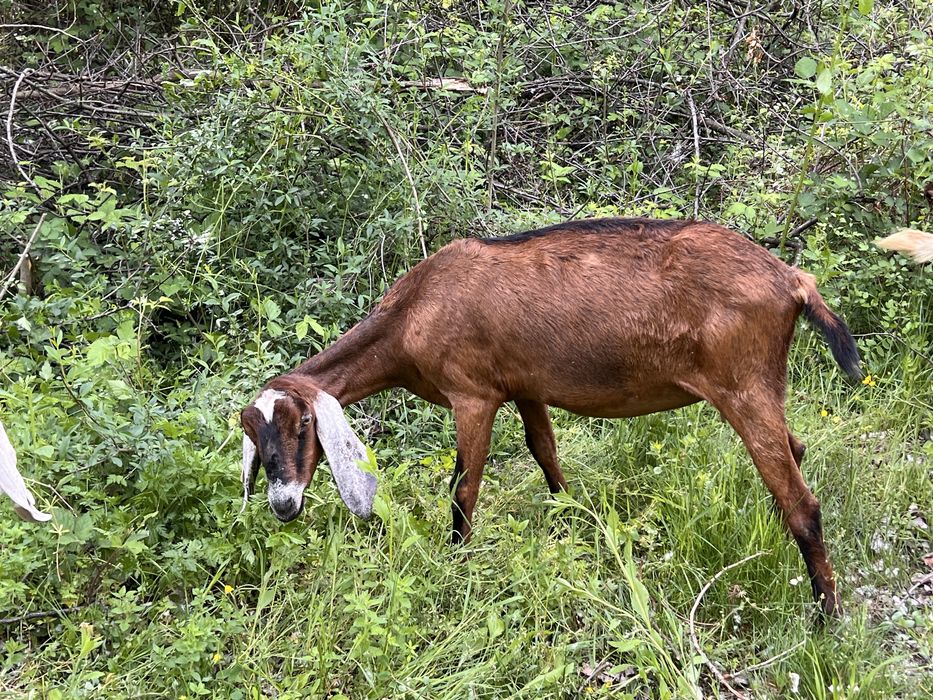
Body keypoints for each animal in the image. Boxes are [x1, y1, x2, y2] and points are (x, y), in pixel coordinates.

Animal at [240, 218, 861, 617]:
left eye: (302, 425)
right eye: (255, 436)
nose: (283, 504)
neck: (414, 312)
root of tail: (791, 280)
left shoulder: (473, 394)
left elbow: (463, 488)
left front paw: (456, 564)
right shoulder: (525, 387)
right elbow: (546, 453)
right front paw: (576, 525)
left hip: (743, 385)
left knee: (803, 503)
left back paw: (825, 617)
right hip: (759, 386)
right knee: (795, 452)